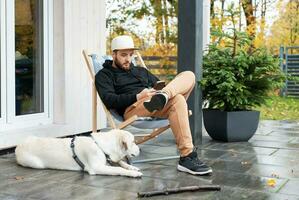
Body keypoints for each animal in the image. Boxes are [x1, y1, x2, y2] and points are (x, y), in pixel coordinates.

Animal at [15, 129, 143, 177]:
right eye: (133, 142)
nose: (140, 150)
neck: (100, 145)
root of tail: (19, 146)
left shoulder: (110, 158)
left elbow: (121, 163)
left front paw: (132, 167)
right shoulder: (96, 168)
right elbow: (118, 168)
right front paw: (133, 173)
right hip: (35, 163)